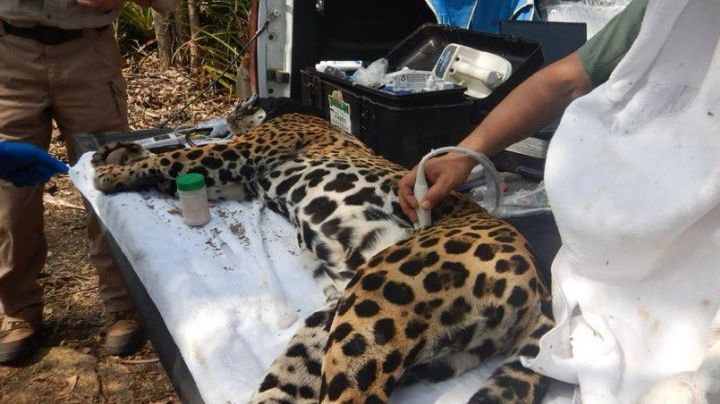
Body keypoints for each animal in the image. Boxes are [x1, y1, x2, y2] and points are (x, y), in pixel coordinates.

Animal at [90, 96, 553, 403]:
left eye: (247, 101)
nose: (228, 115)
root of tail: (540, 284)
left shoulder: (236, 155)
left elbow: (174, 157)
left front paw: (112, 173)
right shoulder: (235, 182)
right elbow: (172, 159)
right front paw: (115, 152)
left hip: (376, 304)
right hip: (334, 332)